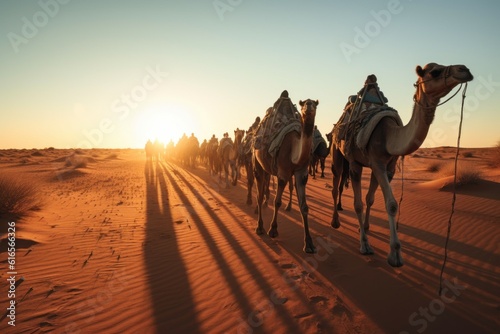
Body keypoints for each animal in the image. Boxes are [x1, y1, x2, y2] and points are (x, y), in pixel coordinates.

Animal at [252, 90, 318, 252]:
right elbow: (277, 202)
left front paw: (309, 243)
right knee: (259, 194)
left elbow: (304, 207)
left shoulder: (302, 173)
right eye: (303, 103)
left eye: (315, 103)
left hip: (267, 168)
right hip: (256, 162)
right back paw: (259, 227)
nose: (309, 106)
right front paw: (273, 230)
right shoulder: (282, 173)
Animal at [332, 62, 472, 266]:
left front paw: (367, 231)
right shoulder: (363, 164)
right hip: (338, 151)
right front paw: (378, 249)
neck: (389, 136)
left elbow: (374, 200)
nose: (465, 70)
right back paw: (335, 222)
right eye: (434, 71)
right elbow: (365, 204)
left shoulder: (387, 167)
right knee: (336, 186)